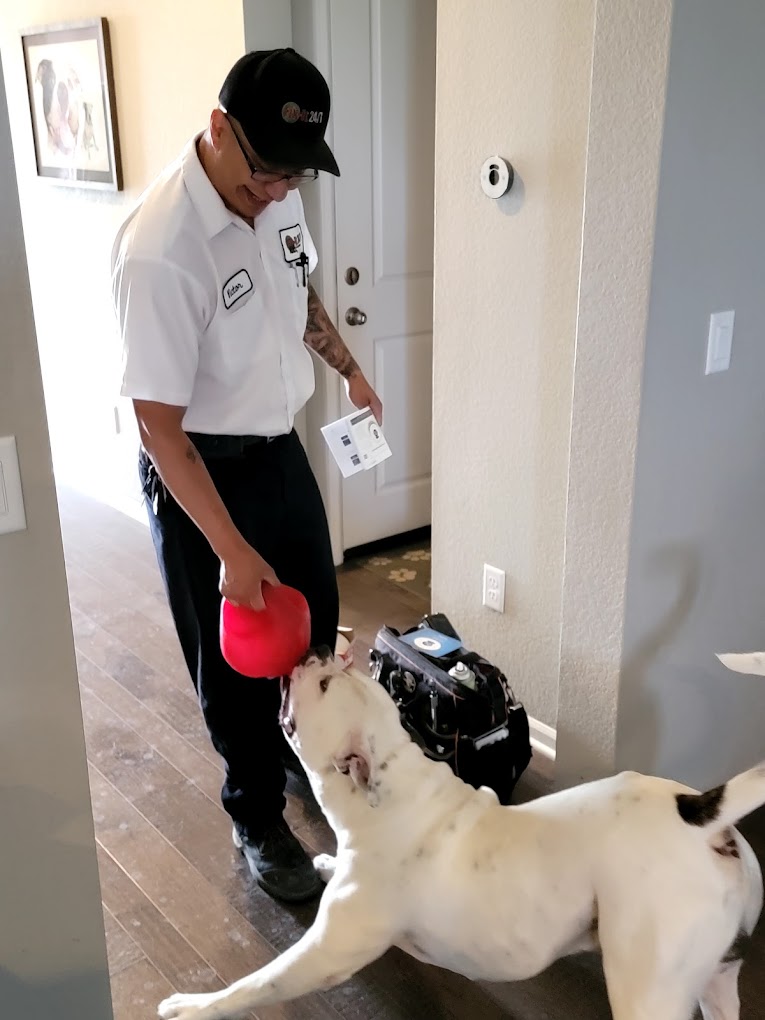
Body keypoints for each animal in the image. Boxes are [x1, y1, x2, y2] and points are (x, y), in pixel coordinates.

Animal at [159, 652, 762, 1020]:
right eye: (339, 672)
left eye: (325, 684)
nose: (317, 651)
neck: (389, 796)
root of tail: (701, 814)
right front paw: (326, 864)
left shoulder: (324, 956)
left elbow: (256, 984)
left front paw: (192, 1006)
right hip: (715, 977)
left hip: (648, 982)